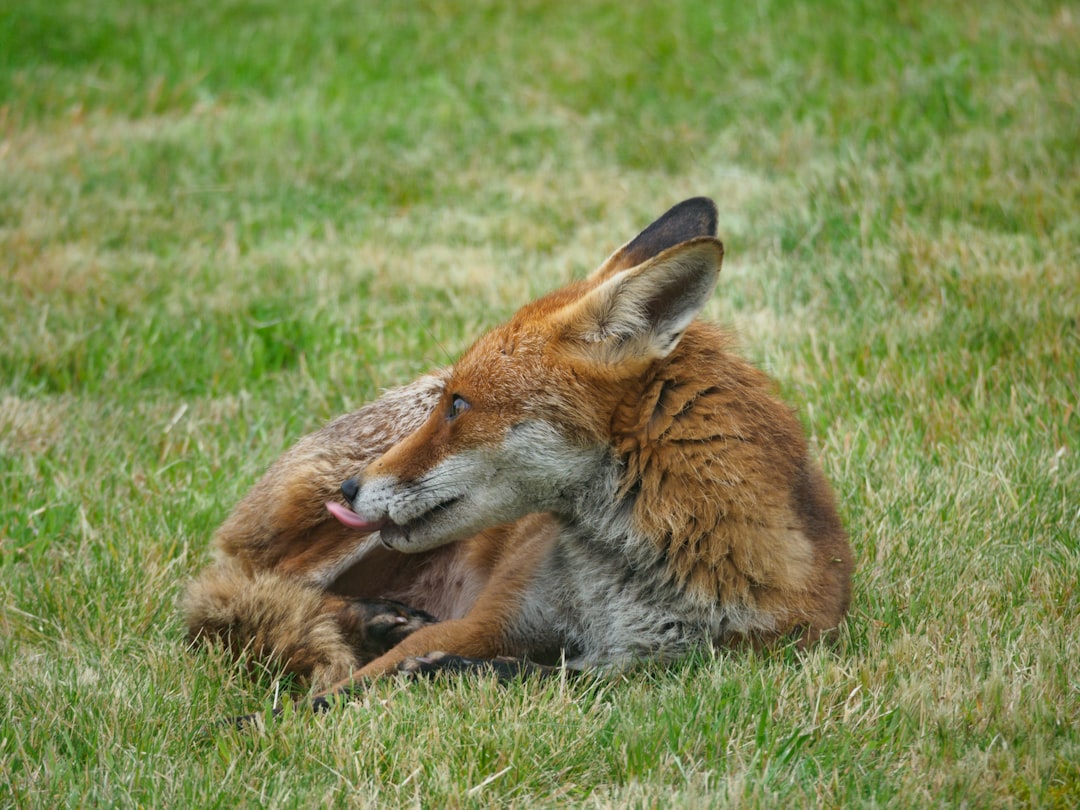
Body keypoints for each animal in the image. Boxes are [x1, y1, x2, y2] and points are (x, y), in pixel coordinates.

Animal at [185, 196, 851, 704]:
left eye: (459, 406)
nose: (348, 490)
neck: (623, 579)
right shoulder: (491, 617)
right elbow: (331, 699)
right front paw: (255, 726)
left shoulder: (674, 664)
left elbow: (549, 675)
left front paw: (462, 673)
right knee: (245, 596)